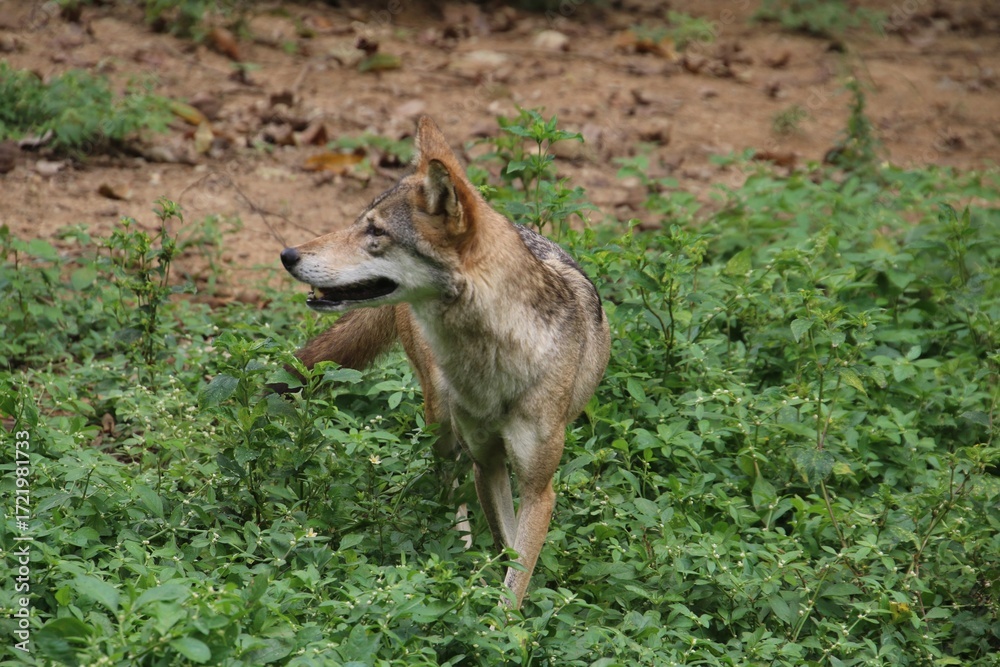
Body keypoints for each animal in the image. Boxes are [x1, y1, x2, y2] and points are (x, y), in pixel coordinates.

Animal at [278, 116, 611, 608]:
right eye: (358, 223)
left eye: (375, 233)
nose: (287, 255)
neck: (493, 356)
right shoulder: (485, 461)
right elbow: (507, 547)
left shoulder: (539, 487)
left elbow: (517, 566)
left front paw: (510, 617)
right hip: (440, 417)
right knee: (448, 484)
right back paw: (458, 551)